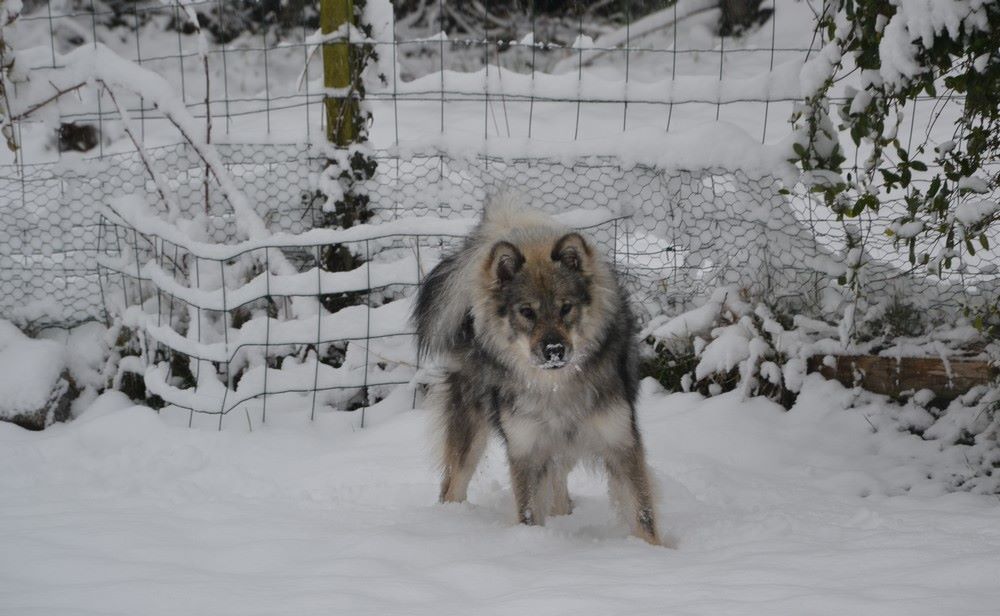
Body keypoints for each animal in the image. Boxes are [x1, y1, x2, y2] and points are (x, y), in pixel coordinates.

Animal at [413, 194, 660, 545]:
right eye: (527, 312)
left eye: (566, 307)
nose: (554, 350)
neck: (555, 387)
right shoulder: (527, 450)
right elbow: (529, 512)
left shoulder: (620, 442)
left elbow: (643, 514)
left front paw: (655, 552)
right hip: (470, 429)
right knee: (452, 486)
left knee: (558, 485)